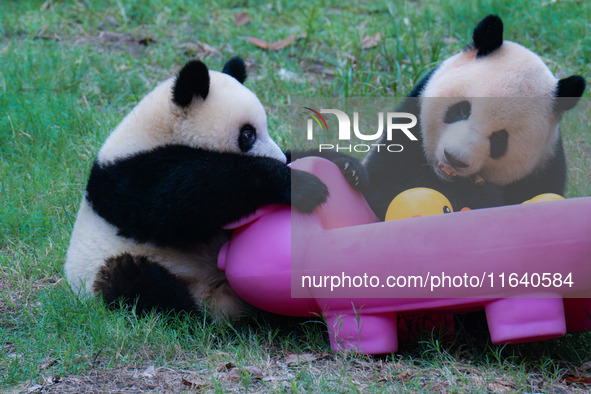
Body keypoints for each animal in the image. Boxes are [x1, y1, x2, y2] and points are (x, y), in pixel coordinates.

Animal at [65, 57, 356, 320]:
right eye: (248, 134)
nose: (280, 161)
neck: (158, 131)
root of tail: (214, 293)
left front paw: (346, 166)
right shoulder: (135, 175)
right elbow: (182, 201)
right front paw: (300, 185)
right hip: (109, 266)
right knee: (133, 282)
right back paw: (196, 317)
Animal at [364, 15, 584, 219]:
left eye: (500, 138)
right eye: (463, 110)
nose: (454, 158)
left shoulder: (546, 165)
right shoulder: (407, 127)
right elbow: (386, 182)